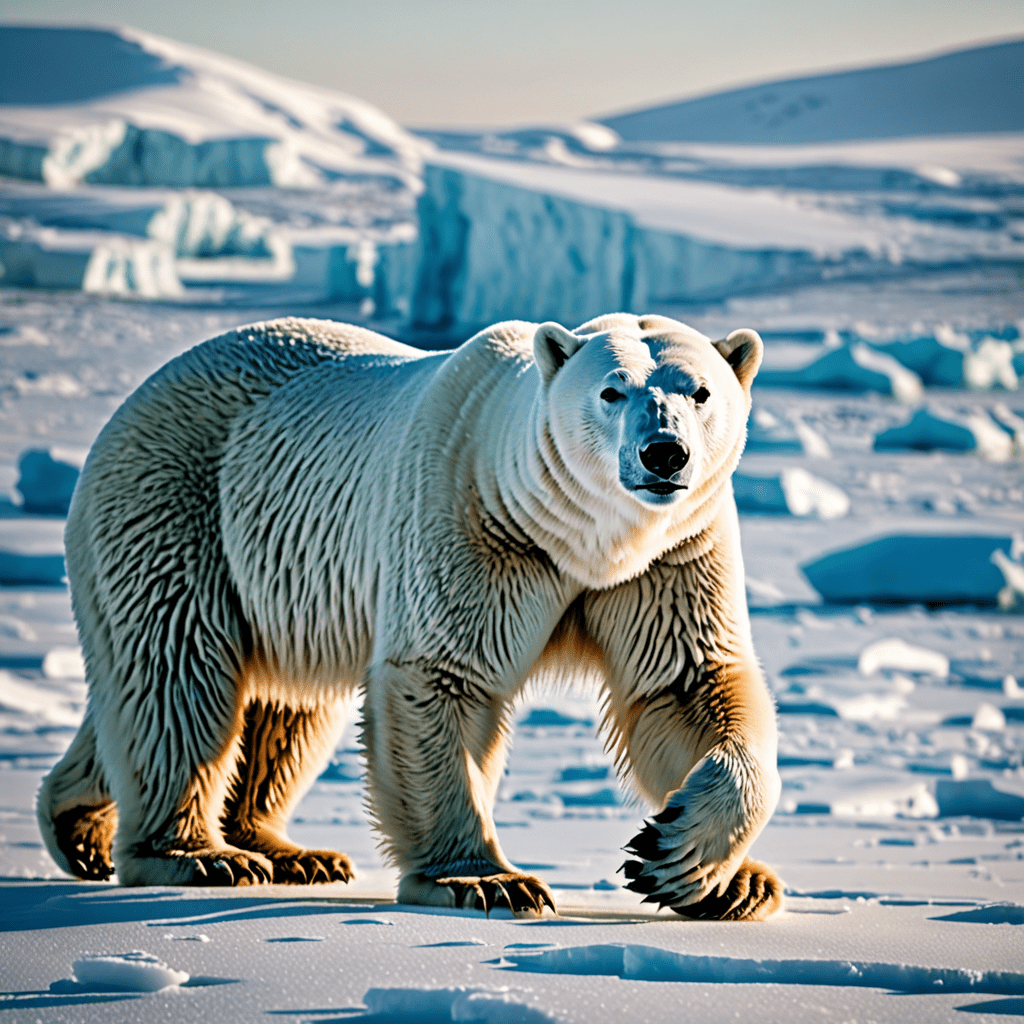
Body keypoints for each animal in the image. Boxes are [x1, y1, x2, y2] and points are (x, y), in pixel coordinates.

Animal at [36, 309, 778, 921]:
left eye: (700, 392)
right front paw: (485, 881)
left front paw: (704, 869)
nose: (664, 454)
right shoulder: (473, 525)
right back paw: (201, 856)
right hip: (180, 506)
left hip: (284, 578)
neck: (580, 539)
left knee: (279, 704)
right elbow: (440, 675)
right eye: (611, 391)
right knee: (178, 671)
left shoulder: (670, 555)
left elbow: (686, 685)